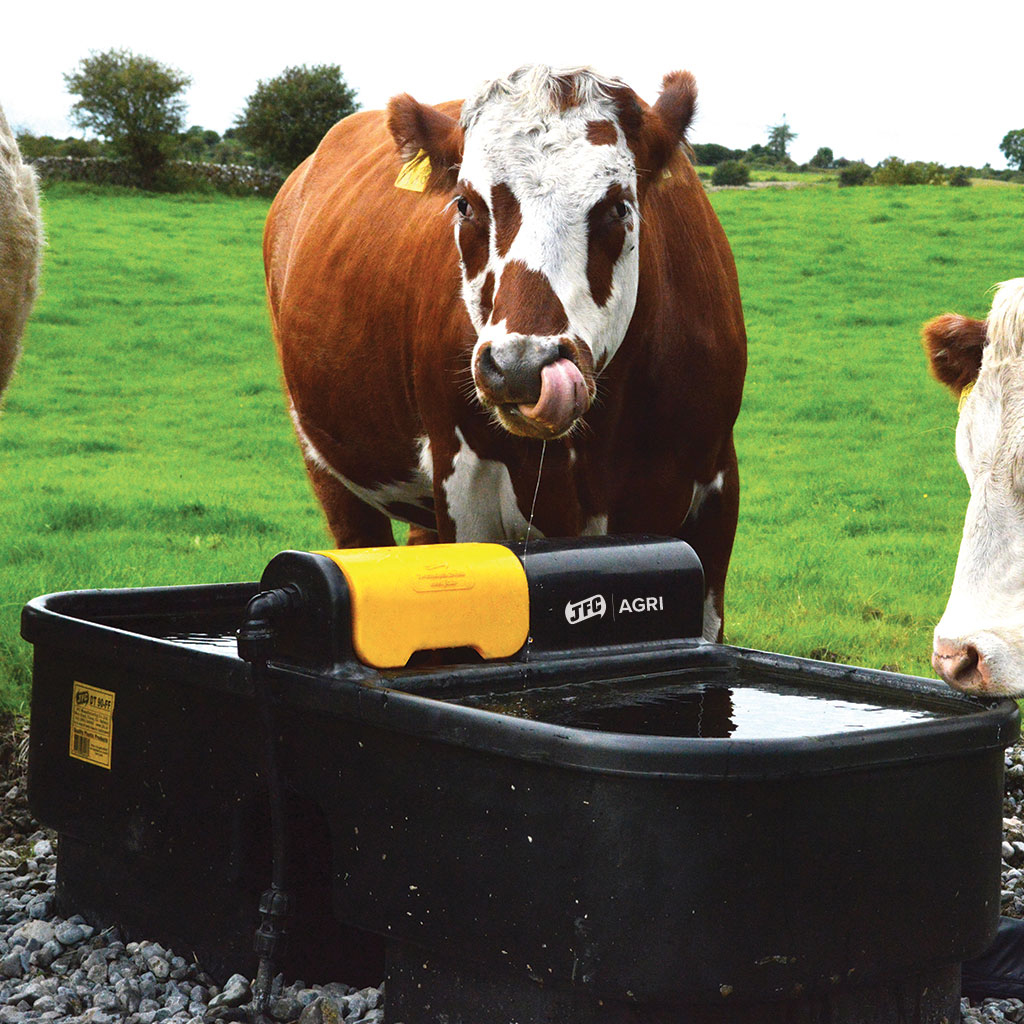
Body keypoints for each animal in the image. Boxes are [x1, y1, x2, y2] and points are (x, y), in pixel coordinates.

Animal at [264, 61, 745, 638]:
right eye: (466, 204)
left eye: (617, 207)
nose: (521, 368)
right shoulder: (465, 485)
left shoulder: (714, 491)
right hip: (327, 463)